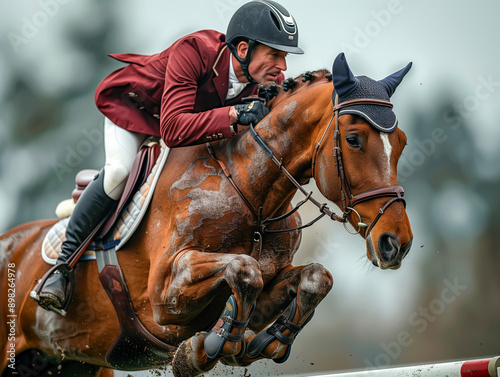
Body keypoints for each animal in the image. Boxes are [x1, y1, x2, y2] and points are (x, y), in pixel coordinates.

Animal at [0, 53, 414, 376]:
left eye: (402, 143)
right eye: (354, 139)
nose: (397, 244)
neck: (252, 194)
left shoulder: (270, 283)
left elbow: (314, 277)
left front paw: (266, 341)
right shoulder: (163, 296)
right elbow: (244, 269)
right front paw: (205, 350)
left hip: (75, 363)